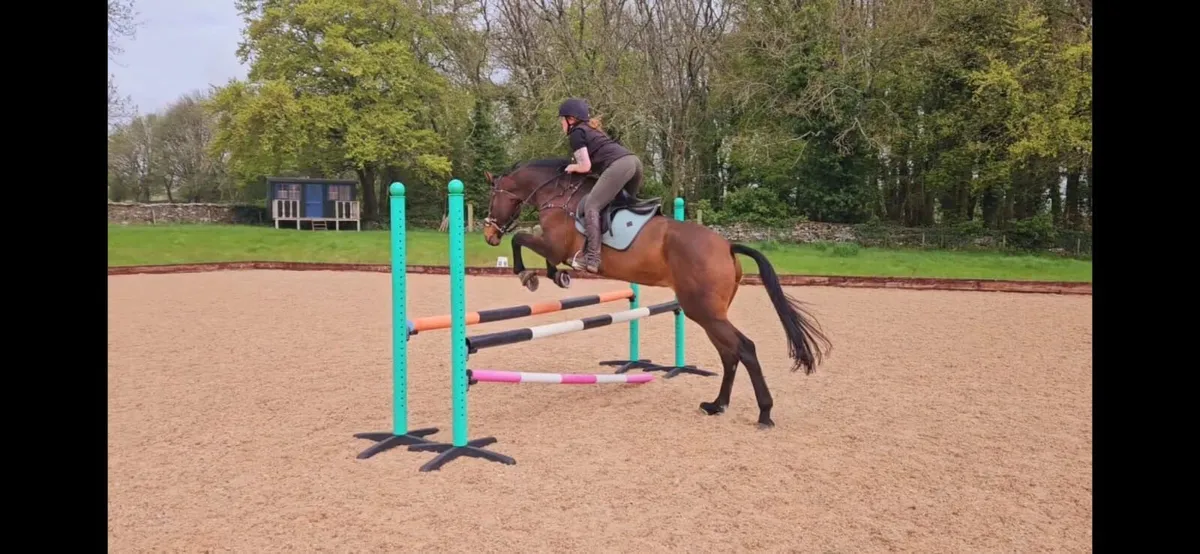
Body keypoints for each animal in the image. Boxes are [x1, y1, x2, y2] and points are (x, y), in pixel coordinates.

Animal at [480, 158, 832, 428]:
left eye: (493, 196)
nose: (489, 236)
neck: (557, 195)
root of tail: (727, 246)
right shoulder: (554, 247)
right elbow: (538, 251)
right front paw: (557, 275)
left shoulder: (554, 245)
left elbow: (521, 240)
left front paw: (529, 275)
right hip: (707, 313)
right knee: (729, 354)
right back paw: (716, 404)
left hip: (703, 311)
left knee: (744, 349)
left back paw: (764, 413)